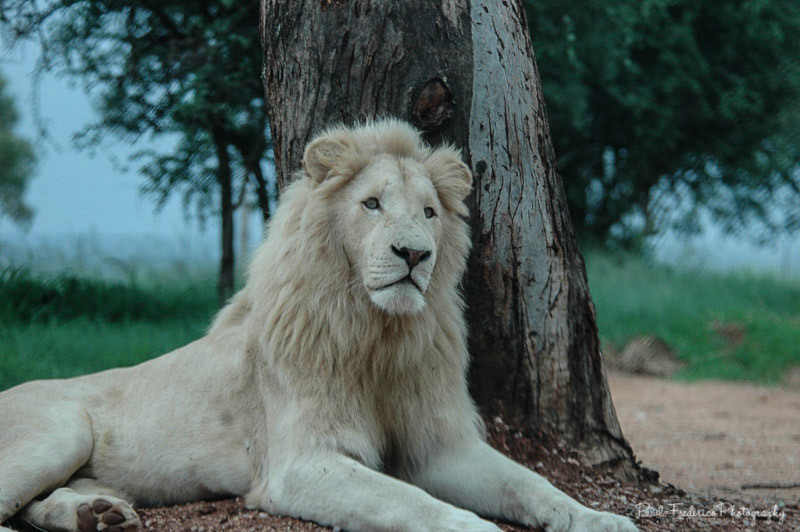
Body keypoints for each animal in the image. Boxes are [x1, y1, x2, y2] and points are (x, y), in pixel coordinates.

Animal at [0, 120, 636, 532]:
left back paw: (95, 514)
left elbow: (530, 483)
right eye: (372, 204)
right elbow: (410, 502)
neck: (380, 333)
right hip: (59, 430)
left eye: (429, 212)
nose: (414, 254)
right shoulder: (300, 465)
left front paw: (600, 518)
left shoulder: (439, 447)